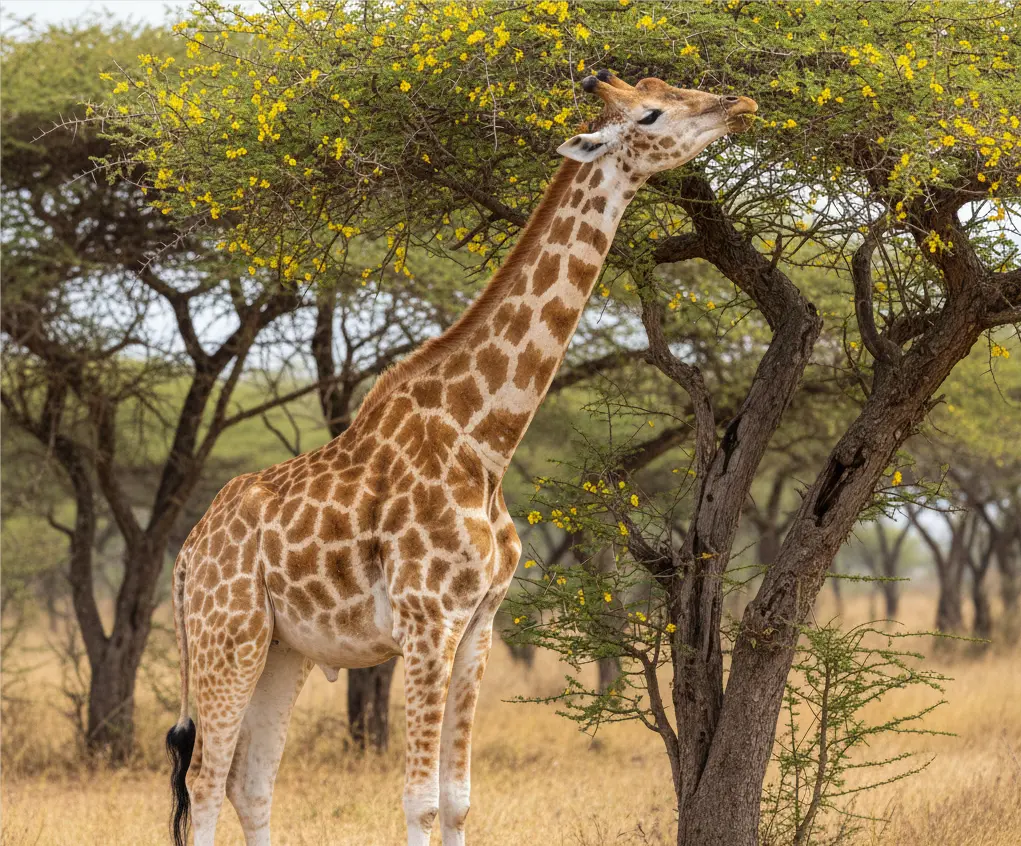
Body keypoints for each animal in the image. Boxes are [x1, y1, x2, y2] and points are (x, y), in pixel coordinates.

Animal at [165, 71, 757, 846]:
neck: (485, 439)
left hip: (283, 648)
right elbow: (418, 799)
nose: (738, 104)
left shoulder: (480, 622)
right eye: (652, 111)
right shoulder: (427, 621)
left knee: (251, 783)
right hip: (226, 636)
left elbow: (457, 798)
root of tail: (186, 555)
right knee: (205, 781)